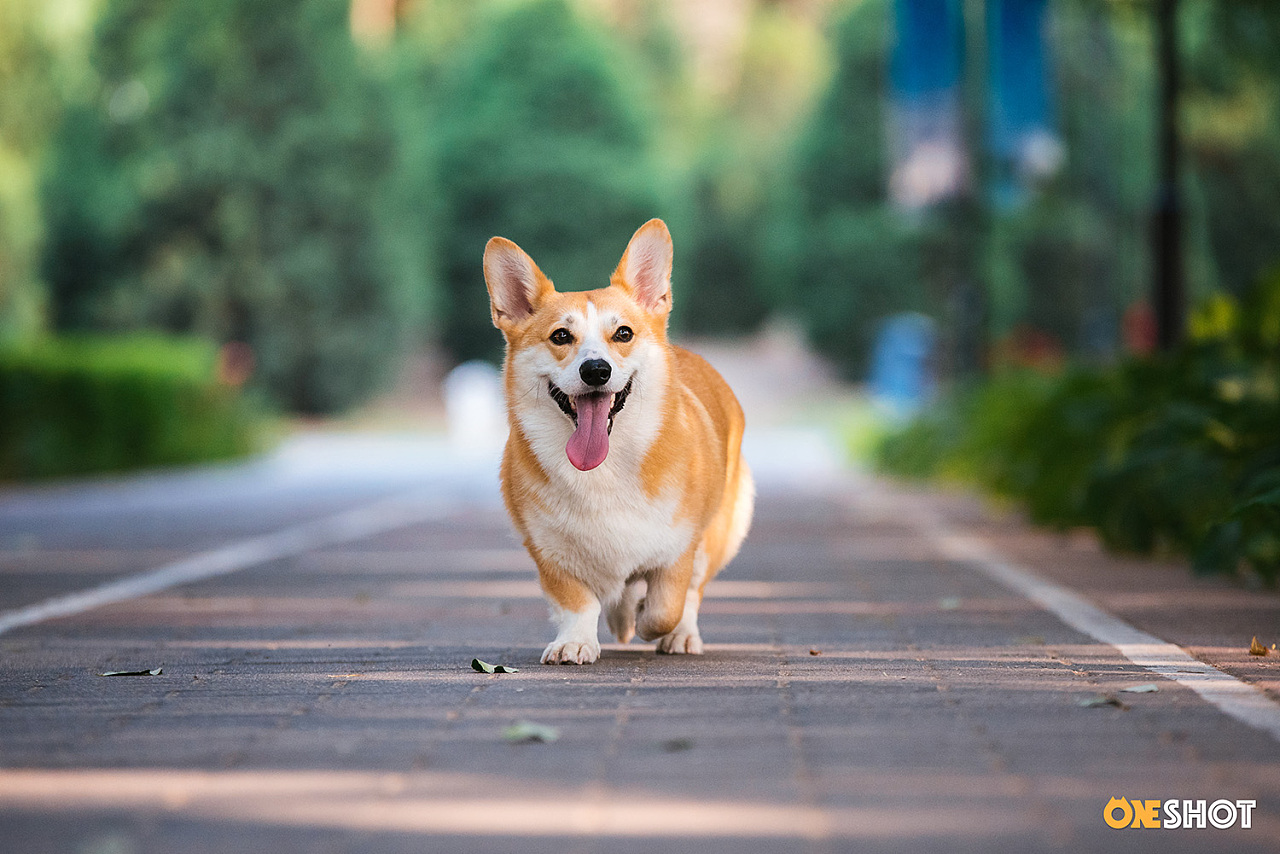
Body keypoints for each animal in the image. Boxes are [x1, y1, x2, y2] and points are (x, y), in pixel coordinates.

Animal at [483, 217, 752, 665]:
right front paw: (574, 642)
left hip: (721, 533)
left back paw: (679, 635)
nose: (596, 370)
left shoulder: (679, 549)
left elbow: (665, 606)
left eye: (623, 333)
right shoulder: (549, 552)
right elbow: (577, 602)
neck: (604, 468)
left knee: (691, 594)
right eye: (560, 336)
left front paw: (650, 620)